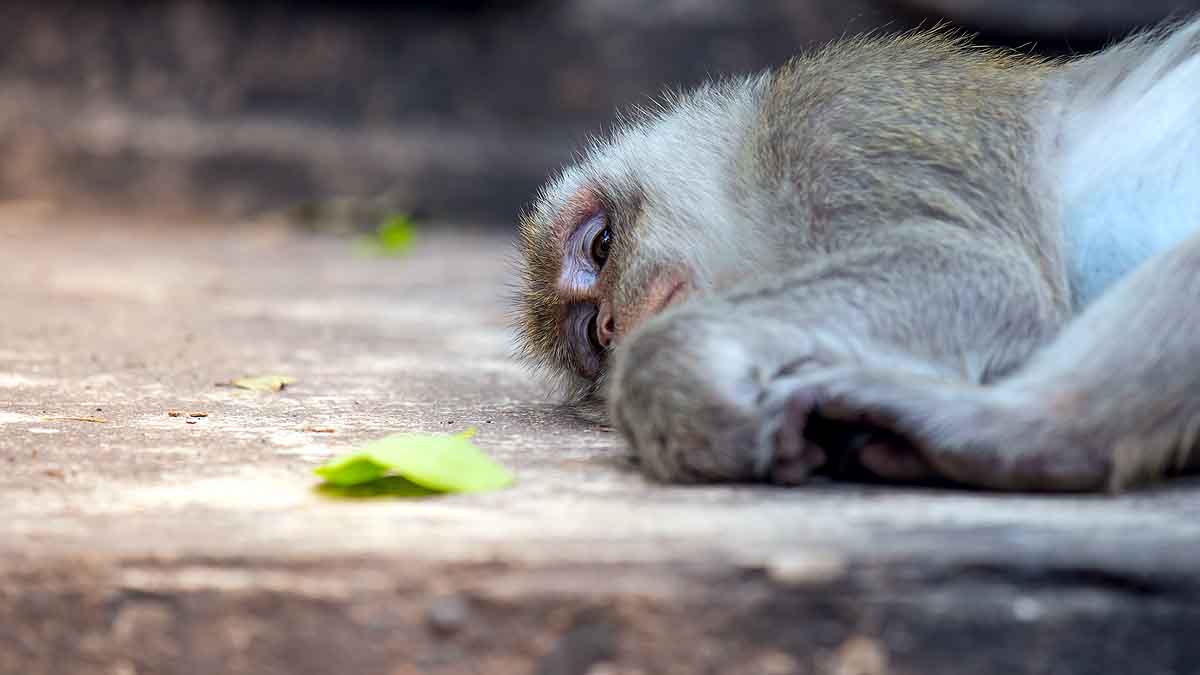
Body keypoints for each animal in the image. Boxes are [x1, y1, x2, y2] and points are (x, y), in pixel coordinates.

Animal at [514, 17, 1200, 492]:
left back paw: (1027, 432)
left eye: (601, 245)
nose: (611, 322)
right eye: (592, 338)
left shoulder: (839, 118)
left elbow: (989, 275)